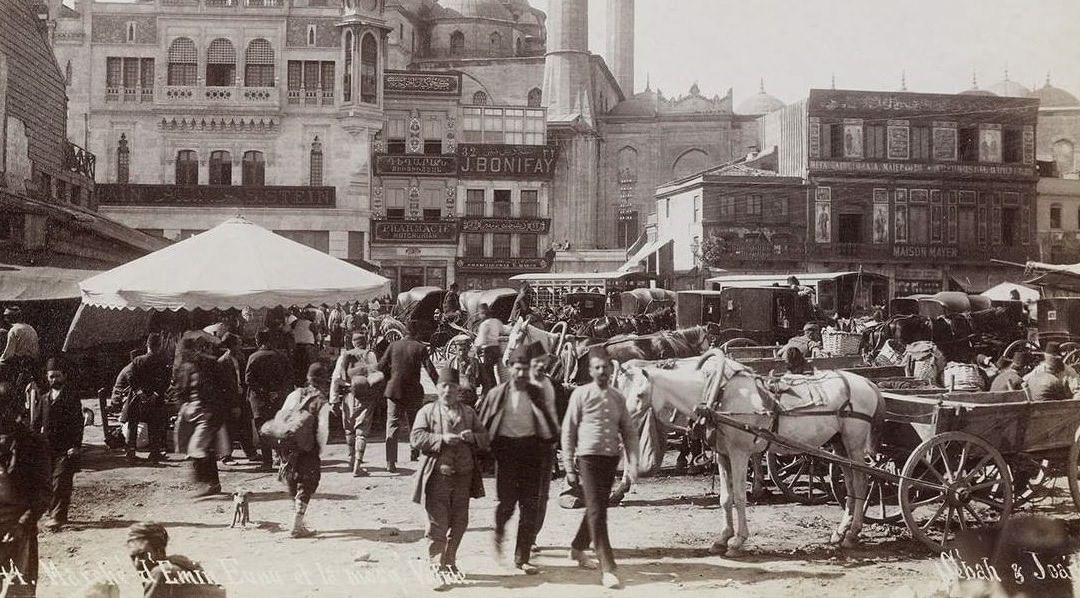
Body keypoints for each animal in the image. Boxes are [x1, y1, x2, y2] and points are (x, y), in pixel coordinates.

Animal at [617, 349, 885, 552]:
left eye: (640, 393)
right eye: (620, 390)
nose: (622, 423)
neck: (717, 396)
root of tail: (867, 383)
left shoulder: (739, 454)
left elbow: (739, 496)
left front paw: (738, 541)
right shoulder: (723, 455)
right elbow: (725, 498)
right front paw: (722, 538)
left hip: (854, 443)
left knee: (861, 483)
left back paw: (853, 533)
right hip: (839, 445)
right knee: (849, 484)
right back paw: (841, 532)